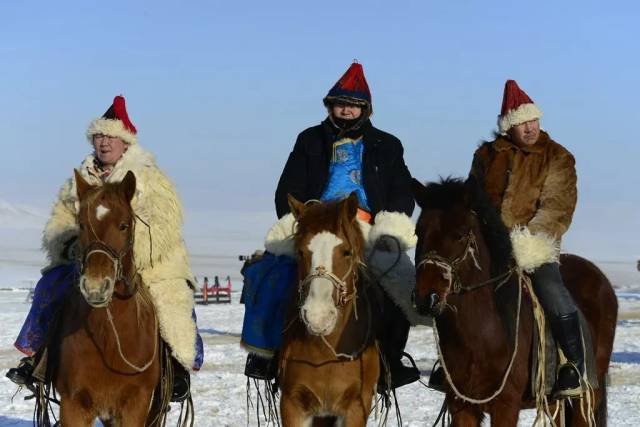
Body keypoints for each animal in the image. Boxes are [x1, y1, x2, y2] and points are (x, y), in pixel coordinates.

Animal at [48, 171, 168, 427]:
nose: (95, 287)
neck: (108, 338)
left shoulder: (136, 403)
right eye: (81, 225)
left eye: (124, 225)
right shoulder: (73, 403)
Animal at [280, 194, 380, 427]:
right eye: (300, 252)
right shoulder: (292, 404)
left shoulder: (356, 407)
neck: (325, 354)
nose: (318, 317)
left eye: (346, 252)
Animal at [412, 178, 616, 427]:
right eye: (418, 232)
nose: (426, 298)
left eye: (459, 234)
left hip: (587, 397)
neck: (481, 335)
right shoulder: (461, 405)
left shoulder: (506, 404)